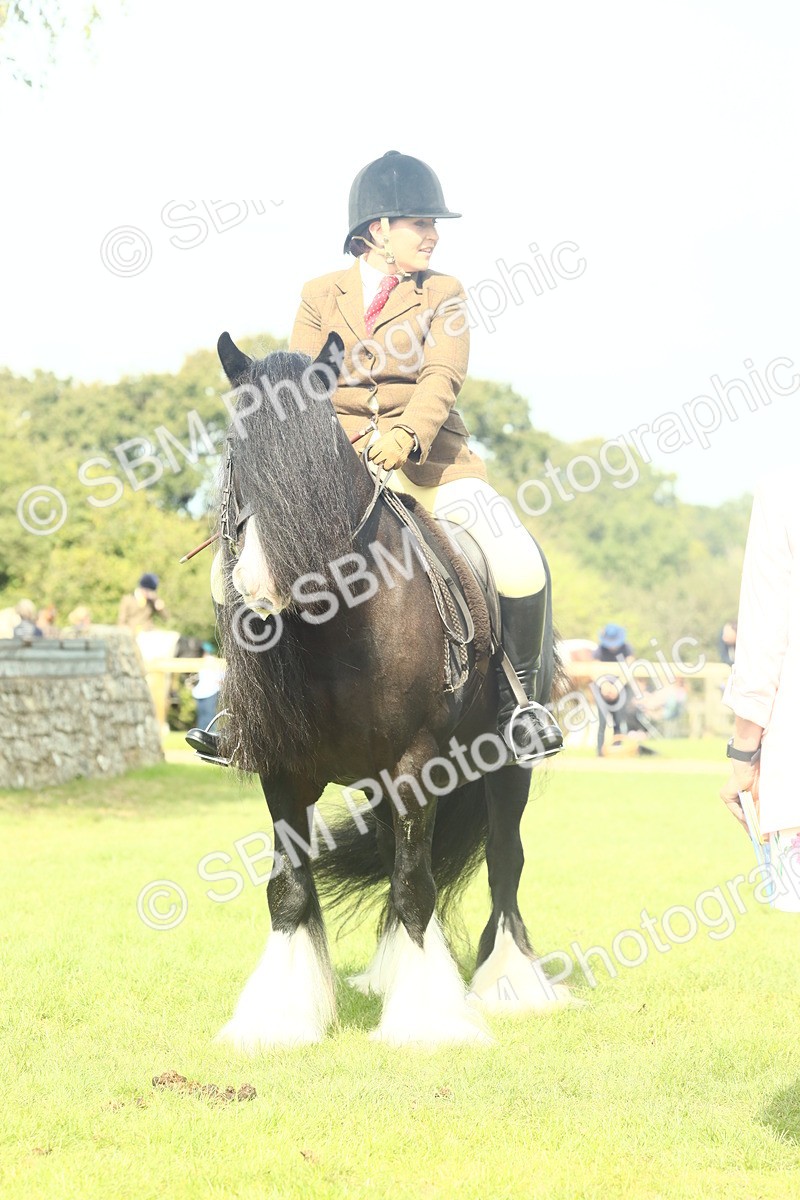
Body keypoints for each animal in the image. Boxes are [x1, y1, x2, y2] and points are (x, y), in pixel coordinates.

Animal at [211, 331, 572, 1047]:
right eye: (236, 449)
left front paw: (430, 1022)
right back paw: (389, 973)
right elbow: (289, 890)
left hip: (503, 762)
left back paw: (510, 984)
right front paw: (279, 1018)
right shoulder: (283, 769)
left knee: (503, 859)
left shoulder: (414, 762)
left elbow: (416, 887)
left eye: (323, 451)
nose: (261, 590)